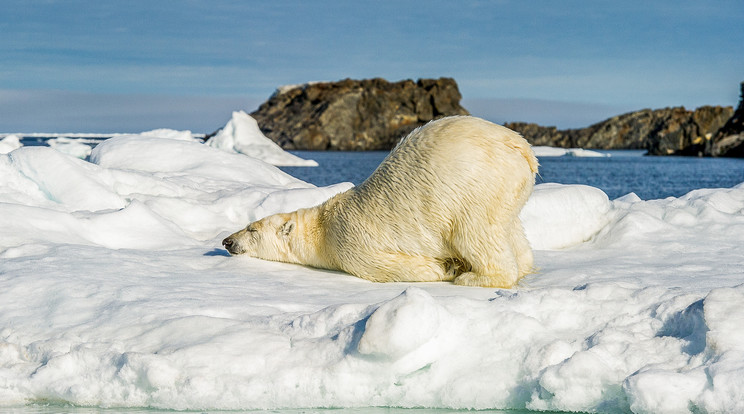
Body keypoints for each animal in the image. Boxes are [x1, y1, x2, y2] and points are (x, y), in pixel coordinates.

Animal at [224, 114, 536, 288]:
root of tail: (520, 147)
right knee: (512, 231)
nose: (227, 241)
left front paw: (447, 269)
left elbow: (394, 267)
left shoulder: (350, 242)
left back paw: (474, 277)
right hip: (509, 189)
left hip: (474, 188)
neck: (322, 227)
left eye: (252, 229)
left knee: (474, 234)